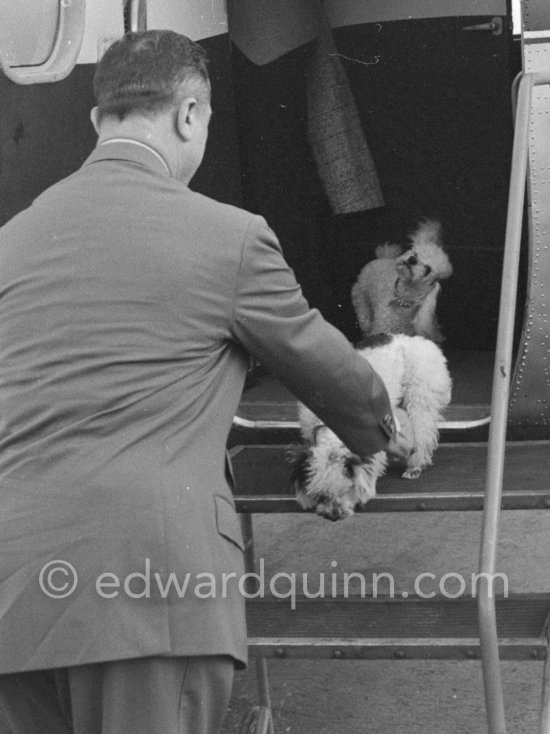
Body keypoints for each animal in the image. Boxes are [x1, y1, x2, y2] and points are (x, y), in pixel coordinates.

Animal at [294, 336, 452, 520]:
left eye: (347, 489)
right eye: (321, 495)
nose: (334, 515)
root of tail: (409, 338)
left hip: (420, 394)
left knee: (423, 432)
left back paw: (415, 466)